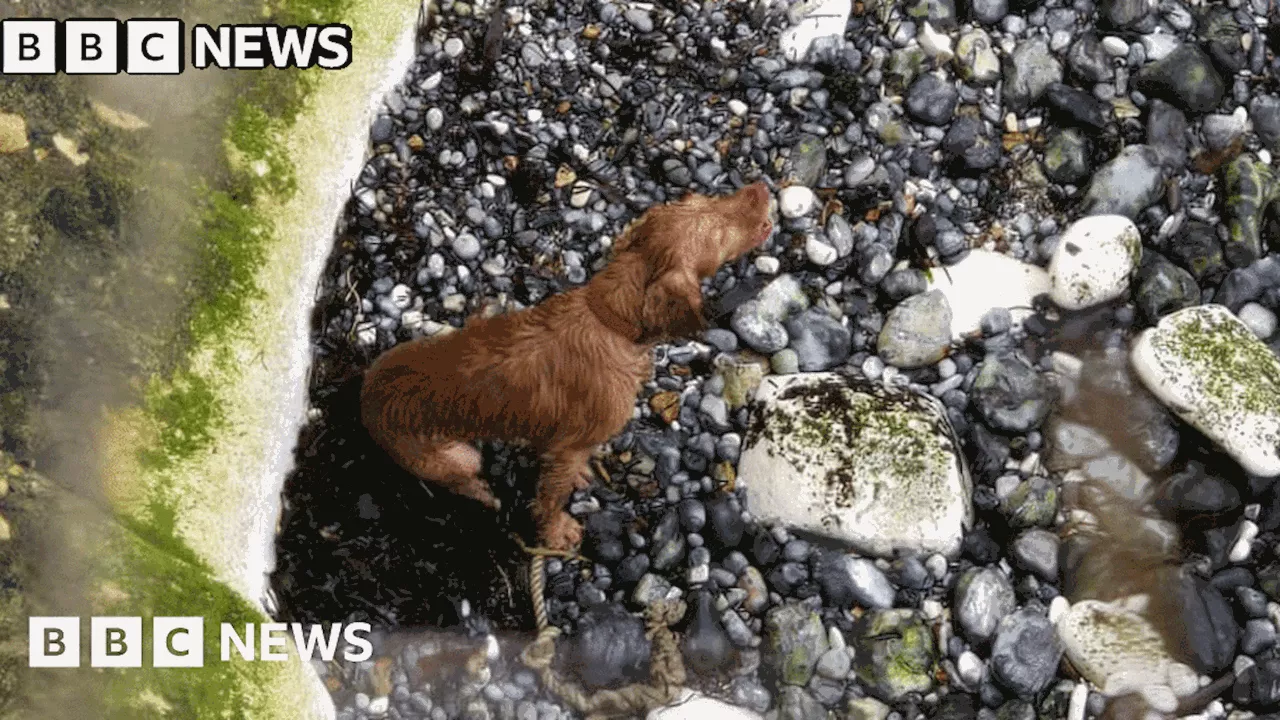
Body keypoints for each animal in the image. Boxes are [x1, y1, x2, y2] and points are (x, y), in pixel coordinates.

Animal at [366, 181, 773, 545]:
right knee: (464, 482)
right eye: (719, 234)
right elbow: (550, 500)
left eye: (702, 197)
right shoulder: (568, 448)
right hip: (458, 457)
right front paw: (556, 533)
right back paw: (485, 493)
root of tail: (364, 397)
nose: (761, 187)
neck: (608, 318)